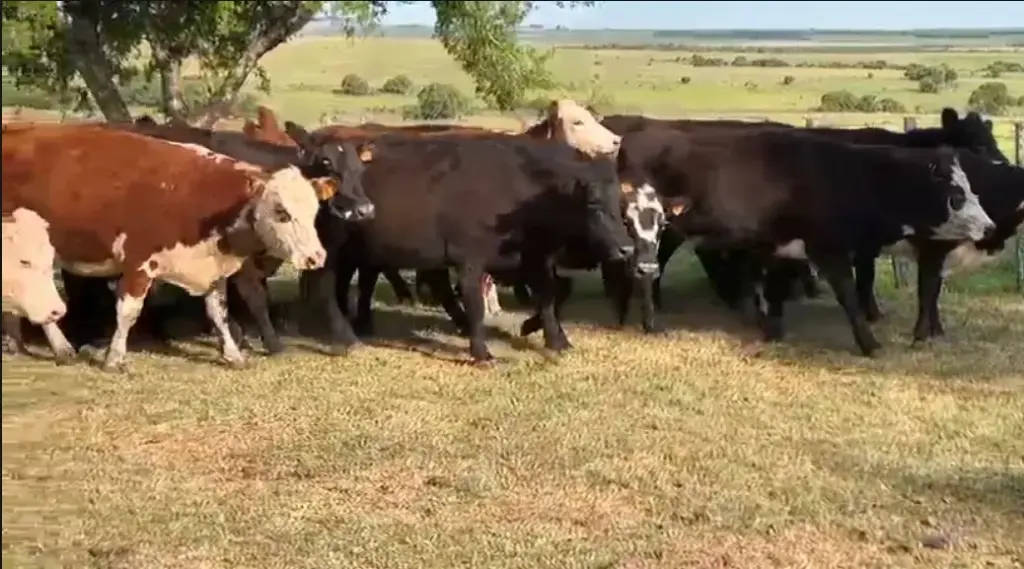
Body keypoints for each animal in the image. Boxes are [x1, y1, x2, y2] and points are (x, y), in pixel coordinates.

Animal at [284, 125, 635, 364]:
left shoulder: (535, 259)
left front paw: (555, 340)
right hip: (330, 249)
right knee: (326, 284)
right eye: (593, 204)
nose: (627, 249)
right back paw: (345, 334)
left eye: (621, 205)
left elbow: (550, 297)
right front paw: (482, 353)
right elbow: (477, 305)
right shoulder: (471, 262)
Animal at [611, 126, 995, 356]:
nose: (990, 227)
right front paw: (869, 343)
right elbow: (848, 295)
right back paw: (651, 319)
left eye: (972, 187)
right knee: (648, 267)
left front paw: (772, 331)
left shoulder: (785, 249)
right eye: (956, 194)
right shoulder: (828, 250)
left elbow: (777, 291)